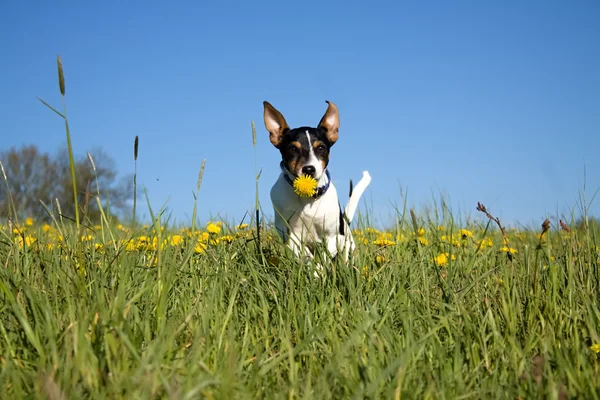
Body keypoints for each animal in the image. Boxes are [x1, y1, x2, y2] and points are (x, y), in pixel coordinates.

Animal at [262, 101, 370, 268]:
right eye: (292, 148)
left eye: (321, 148)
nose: (309, 169)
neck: (307, 198)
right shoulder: (290, 235)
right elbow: (306, 255)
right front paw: (315, 268)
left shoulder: (332, 236)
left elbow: (327, 254)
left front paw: (321, 267)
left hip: (347, 244)